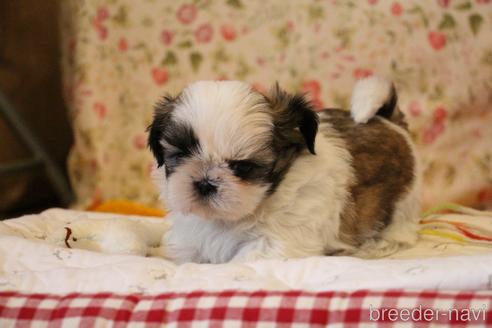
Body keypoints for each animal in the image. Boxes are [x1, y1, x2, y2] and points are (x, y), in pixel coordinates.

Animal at [148, 77, 420, 264]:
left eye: (243, 166)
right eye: (180, 155)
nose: (205, 182)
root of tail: (387, 120)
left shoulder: (275, 243)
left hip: (402, 203)